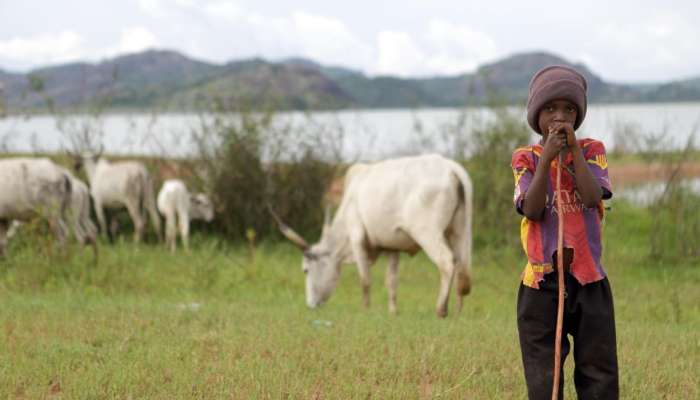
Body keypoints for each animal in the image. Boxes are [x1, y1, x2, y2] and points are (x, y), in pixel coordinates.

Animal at [270, 154, 474, 318]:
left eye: (306, 270)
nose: (311, 304)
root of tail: (450, 167)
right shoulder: (393, 246)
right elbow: (391, 281)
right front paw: (393, 312)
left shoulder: (357, 238)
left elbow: (365, 280)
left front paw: (366, 310)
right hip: (460, 230)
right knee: (462, 267)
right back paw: (458, 311)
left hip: (427, 233)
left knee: (447, 262)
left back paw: (441, 310)